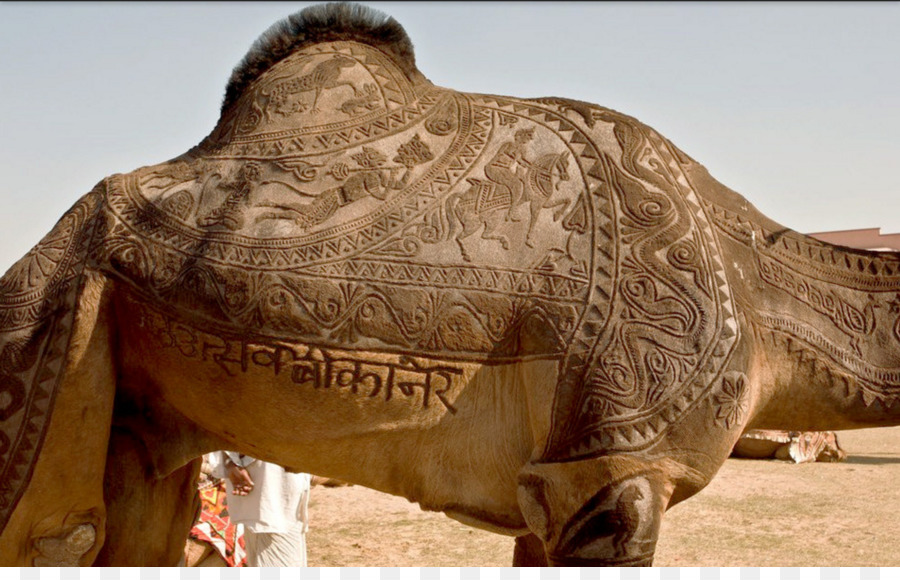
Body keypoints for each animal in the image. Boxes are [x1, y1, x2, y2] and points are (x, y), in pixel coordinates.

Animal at [1, 3, 900, 568]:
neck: (753, 283)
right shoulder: (615, 466)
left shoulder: (556, 478)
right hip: (45, 322)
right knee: (56, 527)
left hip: (134, 409)